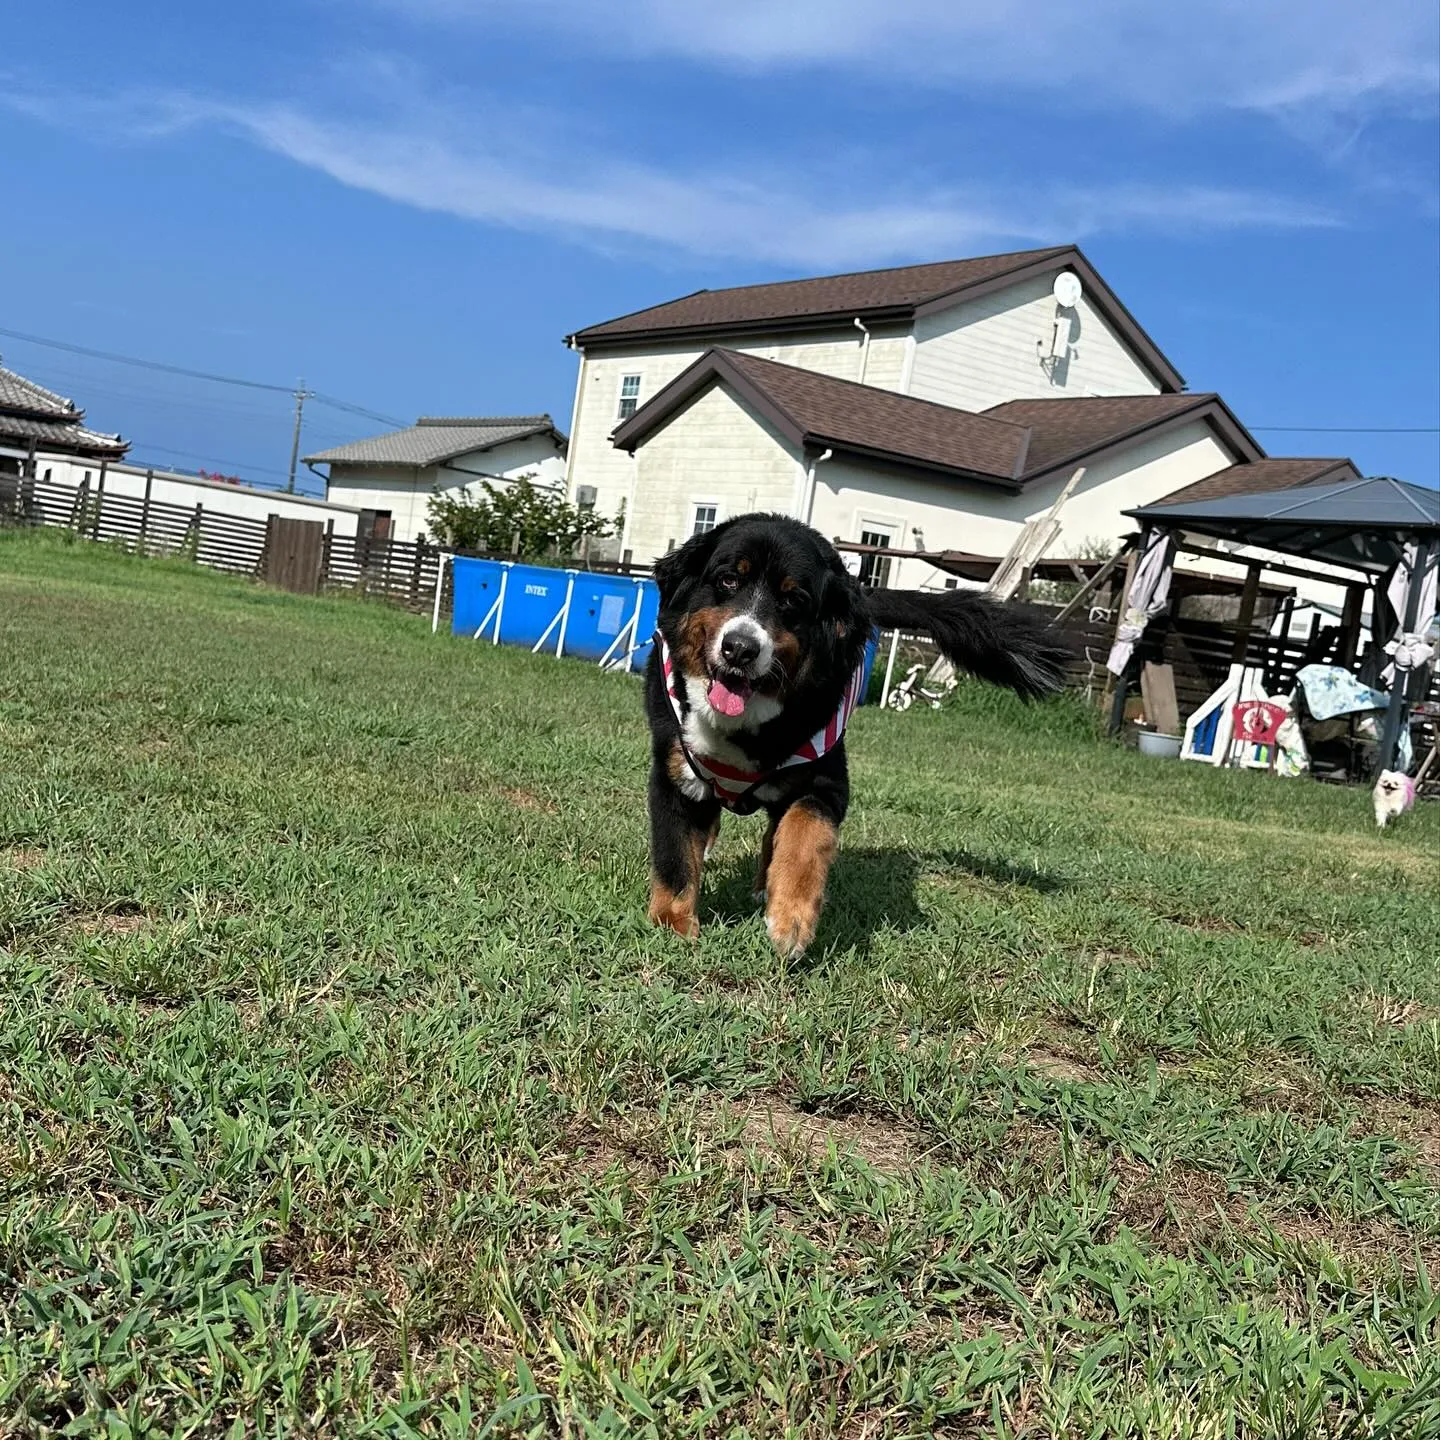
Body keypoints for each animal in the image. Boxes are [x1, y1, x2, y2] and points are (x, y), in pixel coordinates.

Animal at [642, 509, 1071, 956]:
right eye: (728, 580)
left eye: (794, 600)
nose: (740, 648)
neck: (744, 728)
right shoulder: (675, 776)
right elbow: (675, 858)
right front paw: (673, 925)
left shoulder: (825, 779)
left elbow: (804, 834)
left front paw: (791, 918)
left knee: (776, 831)